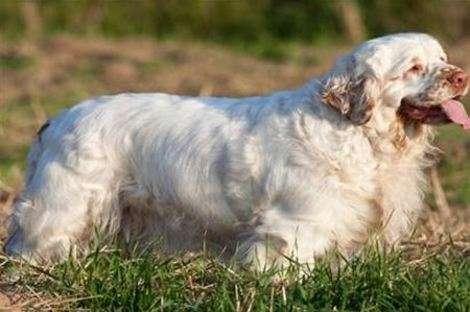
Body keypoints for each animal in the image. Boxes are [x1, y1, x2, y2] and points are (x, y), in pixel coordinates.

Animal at [4, 33, 470, 270]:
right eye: (413, 68)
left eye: (443, 58)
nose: (461, 76)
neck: (357, 133)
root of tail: (57, 119)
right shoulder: (293, 225)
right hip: (65, 205)